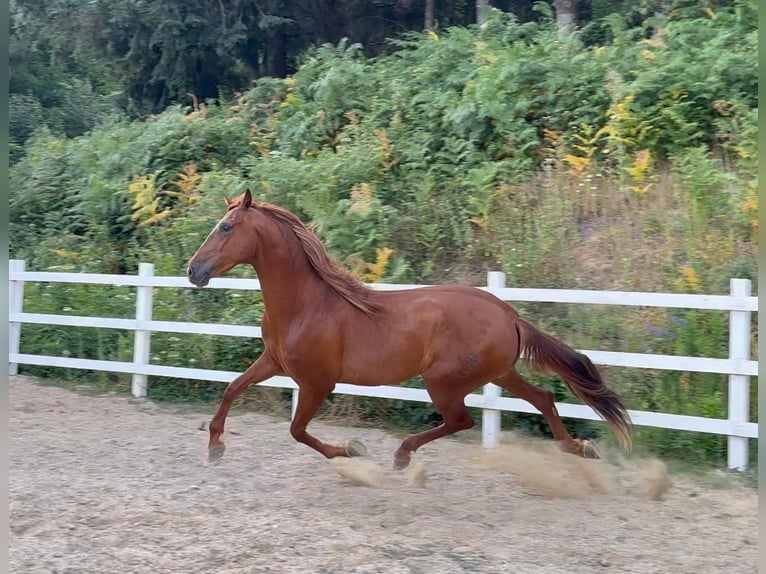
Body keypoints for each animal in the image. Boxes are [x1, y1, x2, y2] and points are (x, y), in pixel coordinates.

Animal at [187, 189, 632, 469]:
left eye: (225, 228)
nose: (193, 270)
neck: (305, 306)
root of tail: (508, 313)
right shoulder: (274, 362)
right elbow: (232, 389)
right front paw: (215, 447)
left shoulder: (316, 382)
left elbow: (297, 431)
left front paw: (353, 448)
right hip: (500, 372)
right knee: (543, 398)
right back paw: (579, 448)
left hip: (444, 381)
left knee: (462, 421)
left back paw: (402, 455)